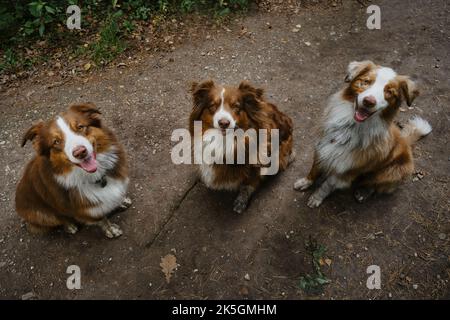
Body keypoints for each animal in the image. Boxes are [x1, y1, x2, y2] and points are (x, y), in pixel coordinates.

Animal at [16, 102, 130, 238]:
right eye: (56, 141)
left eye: (80, 127)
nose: (80, 152)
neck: (96, 177)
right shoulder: (87, 210)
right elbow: (102, 219)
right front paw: (111, 229)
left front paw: (121, 201)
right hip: (42, 215)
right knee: (60, 219)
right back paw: (70, 226)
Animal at [191, 80, 294, 212]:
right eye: (213, 105)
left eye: (236, 106)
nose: (224, 123)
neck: (224, 141)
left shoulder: (256, 165)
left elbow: (248, 185)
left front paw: (241, 201)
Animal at [294, 60, 430, 208]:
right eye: (366, 81)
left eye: (389, 92)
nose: (369, 101)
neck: (350, 128)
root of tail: (406, 142)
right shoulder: (322, 148)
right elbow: (314, 170)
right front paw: (306, 182)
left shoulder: (345, 169)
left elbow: (326, 185)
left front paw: (316, 197)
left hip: (392, 171)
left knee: (376, 185)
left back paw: (364, 192)